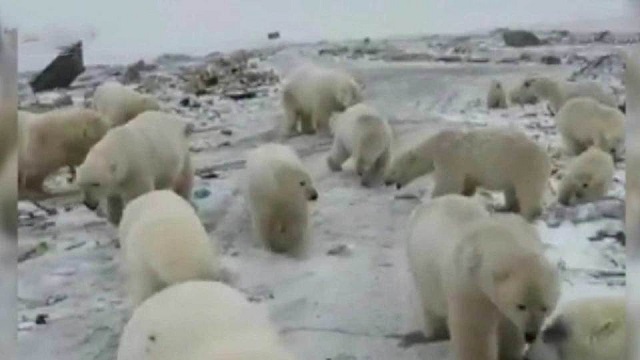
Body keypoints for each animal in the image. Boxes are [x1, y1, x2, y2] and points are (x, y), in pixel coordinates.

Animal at [382, 128, 552, 221]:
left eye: (393, 170)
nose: (386, 181)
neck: (435, 145)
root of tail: (545, 155)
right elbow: (467, 183)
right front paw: (465, 194)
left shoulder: (448, 156)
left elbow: (448, 182)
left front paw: (433, 199)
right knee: (511, 190)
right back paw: (503, 207)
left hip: (524, 165)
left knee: (528, 191)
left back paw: (527, 214)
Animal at [408, 197, 564, 360]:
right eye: (521, 306)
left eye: (545, 307)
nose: (530, 335)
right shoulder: (470, 286)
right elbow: (475, 330)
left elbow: (510, 327)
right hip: (424, 272)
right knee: (432, 304)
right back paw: (437, 332)